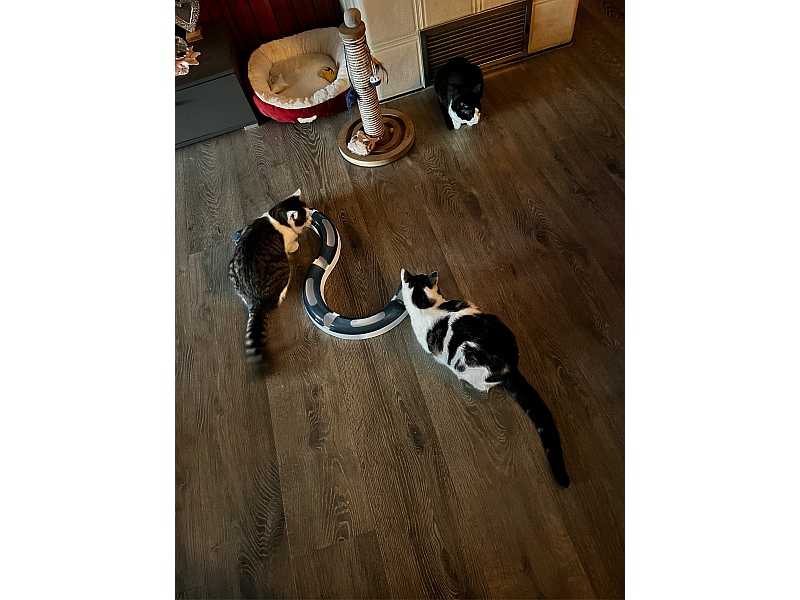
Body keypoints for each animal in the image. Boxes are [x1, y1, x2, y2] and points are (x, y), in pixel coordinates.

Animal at [228, 190, 312, 363]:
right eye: (305, 218)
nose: (312, 219)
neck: (278, 218)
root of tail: (256, 303)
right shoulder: (287, 242)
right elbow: (291, 245)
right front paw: (296, 245)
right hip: (284, 268)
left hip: (232, 270)